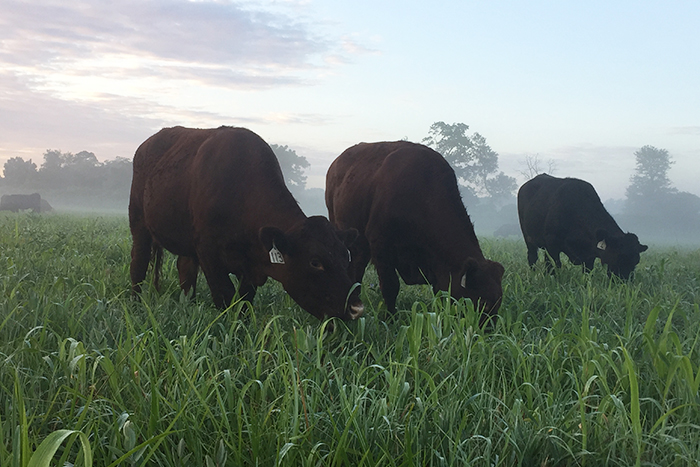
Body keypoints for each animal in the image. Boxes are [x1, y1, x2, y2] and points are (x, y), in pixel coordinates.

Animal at [128, 125, 364, 322]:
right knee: (138, 265)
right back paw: (135, 305)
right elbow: (224, 297)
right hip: (138, 223)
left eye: (346, 256)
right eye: (315, 262)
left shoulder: (249, 267)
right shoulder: (209, 253)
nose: (355, 307)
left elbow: (243, 302)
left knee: (185, 270)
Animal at [326, 141, 506, 328]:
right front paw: (391, 319)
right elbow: (391, 287)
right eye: (482, 302)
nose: (489, 330)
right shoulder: (381, 249)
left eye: (498, 301)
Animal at [516, 175, 648, 278]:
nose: (625, 282)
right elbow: (557, 264)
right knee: (532, 257)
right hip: (528, 237)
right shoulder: (552, 244)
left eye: (636, 261)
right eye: (619, 257)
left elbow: (587, 272)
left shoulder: (589, 254)